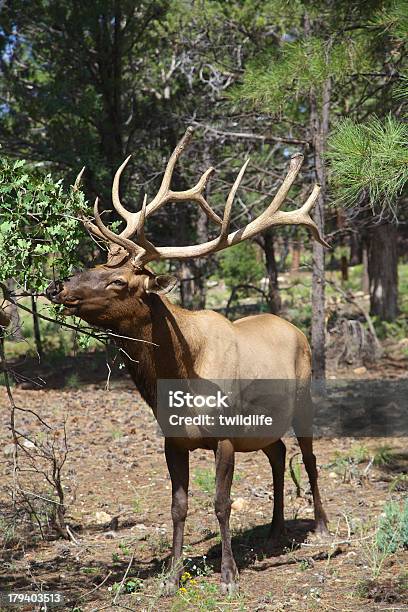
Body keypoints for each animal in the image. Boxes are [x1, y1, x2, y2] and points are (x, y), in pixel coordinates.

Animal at [46, 128, 330, 592]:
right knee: (277, 453)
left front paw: (228, 575)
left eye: (118, 280)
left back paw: (321, 525)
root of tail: (294, 327)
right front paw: (171, 574)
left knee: (307, 456)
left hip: (305, 396)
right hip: (264, 425)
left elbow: (221, 502)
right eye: (94, 262)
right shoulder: (172, 439)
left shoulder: (226, 435)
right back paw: (274, 531)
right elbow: (178, 506)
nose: (57, 286)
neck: (180, 376)